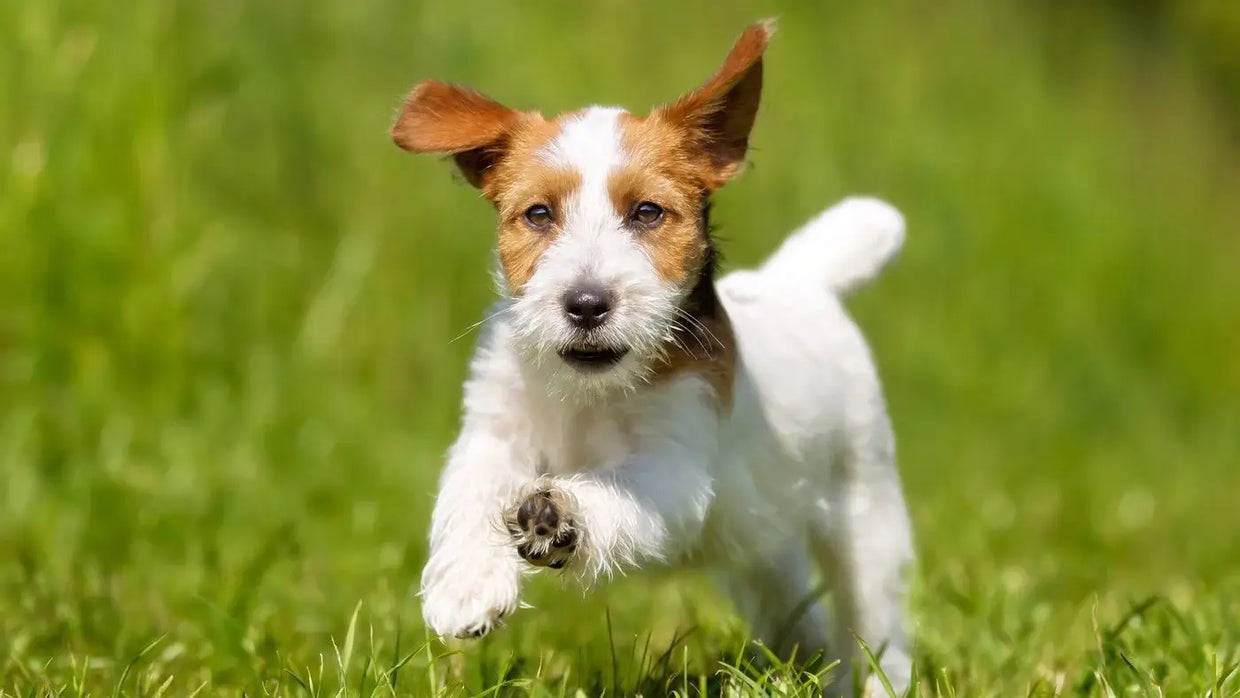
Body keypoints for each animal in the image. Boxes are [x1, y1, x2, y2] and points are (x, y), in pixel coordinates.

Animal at [391, 20, 917, 694]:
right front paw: (467, 584)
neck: (587, 394)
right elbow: (470, 495)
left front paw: (561, 514)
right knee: (796, 607)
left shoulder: (672, 465)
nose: (586, 304)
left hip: (866, 511)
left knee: (875, 624)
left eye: (647, 212)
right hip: (763, 547)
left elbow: (614, 488)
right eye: (538, 213)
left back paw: (873, 680)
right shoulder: (492, 432)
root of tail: (803, 280)